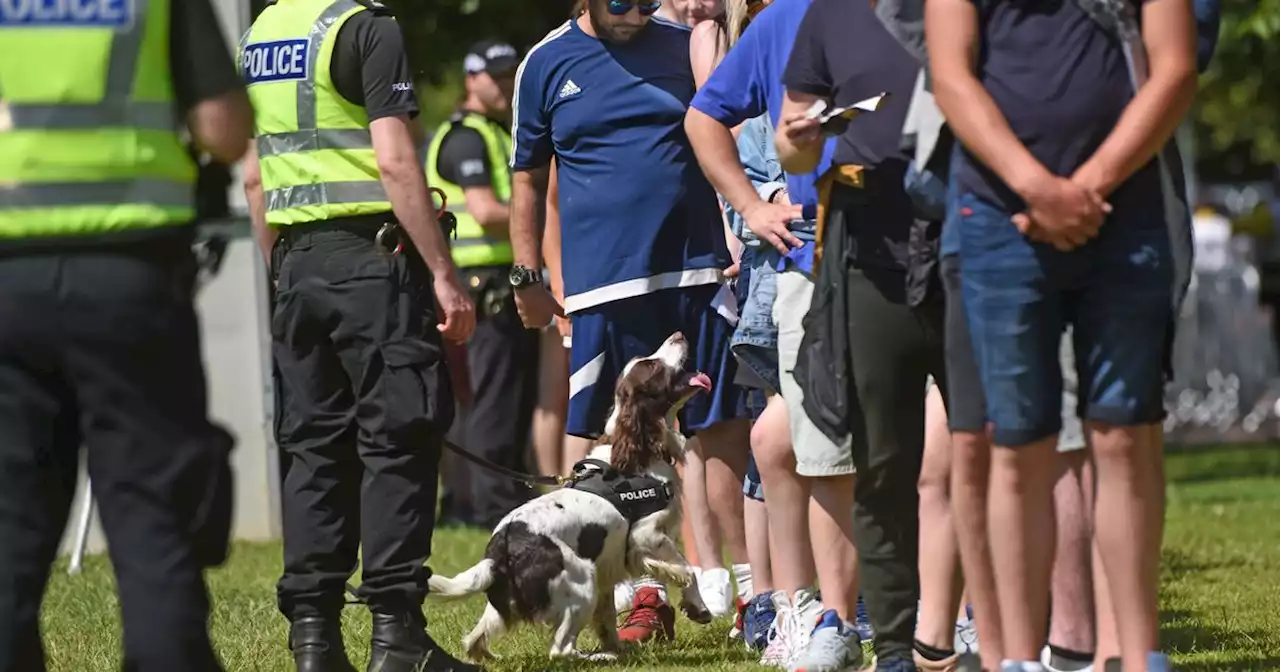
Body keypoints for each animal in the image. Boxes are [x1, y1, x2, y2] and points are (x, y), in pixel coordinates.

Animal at [427, 330, 711, 660]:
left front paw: (622, 648)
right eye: (652, 365)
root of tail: (498, 554)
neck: (637, 452)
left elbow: (608, 618)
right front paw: (699, 608)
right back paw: (598, 657)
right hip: (581, 582)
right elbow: (687, 570)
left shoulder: (610, 567)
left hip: (508, 604)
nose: (678, 334)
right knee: (561, 650)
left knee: (474, 640)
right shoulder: (646, 537)